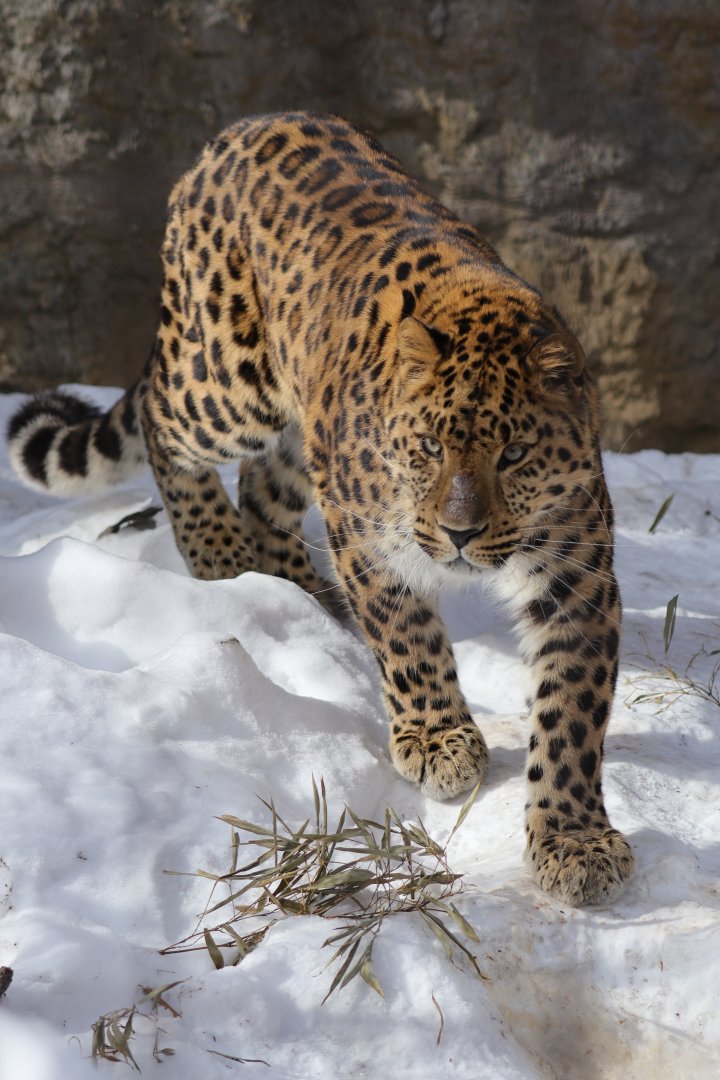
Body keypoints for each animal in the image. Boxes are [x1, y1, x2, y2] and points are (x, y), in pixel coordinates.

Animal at [7, 111, 634, 906]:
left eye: (515, 453)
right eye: (430, 446)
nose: (459, 534)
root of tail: (240, 130)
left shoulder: (577, 573)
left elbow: (571, 713)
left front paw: (574, 839)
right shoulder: (371, 541)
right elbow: (409, 641)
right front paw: (439, 741)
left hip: (302, 426)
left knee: (261, 490)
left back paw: (303, 594)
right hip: (227, 382)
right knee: (160, 417)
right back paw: (219, 556)